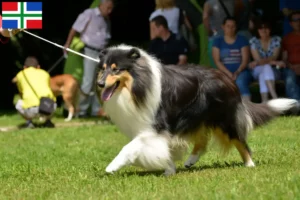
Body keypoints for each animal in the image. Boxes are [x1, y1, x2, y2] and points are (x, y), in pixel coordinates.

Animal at [97, 44, 298, 175]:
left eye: (116, 69)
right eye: (103, 68)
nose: (99, 84)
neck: (138, 85)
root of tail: (229, 79)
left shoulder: (155, 127)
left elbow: (130, 147)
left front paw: (111, 167)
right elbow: (163, 150)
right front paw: (170, 170)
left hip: (224, 119)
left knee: (240, 141)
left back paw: (249, 164)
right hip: (197, 118)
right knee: (202, 141)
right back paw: (189, 161)